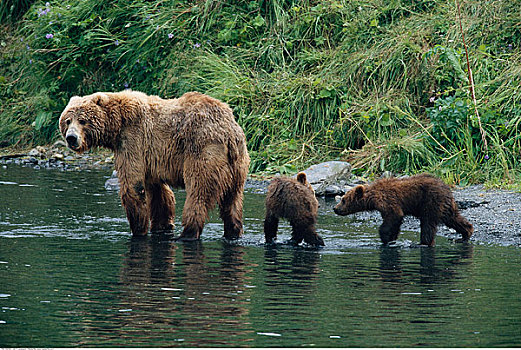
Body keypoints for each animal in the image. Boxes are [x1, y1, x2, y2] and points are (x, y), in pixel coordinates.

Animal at [59, 90, 250, 241]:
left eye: (82, 120)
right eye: (68, 120)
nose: (71, 138)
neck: (117, 125)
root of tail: (230, 132)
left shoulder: (133, 140)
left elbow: (133, 186)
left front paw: (138, 230)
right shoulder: (151, 157)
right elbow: (158, 192)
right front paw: (162, 225)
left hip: (203, 150)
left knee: (198, 193)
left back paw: (187, 233)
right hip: (238, 164)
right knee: (232, 200)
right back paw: (233, 231)